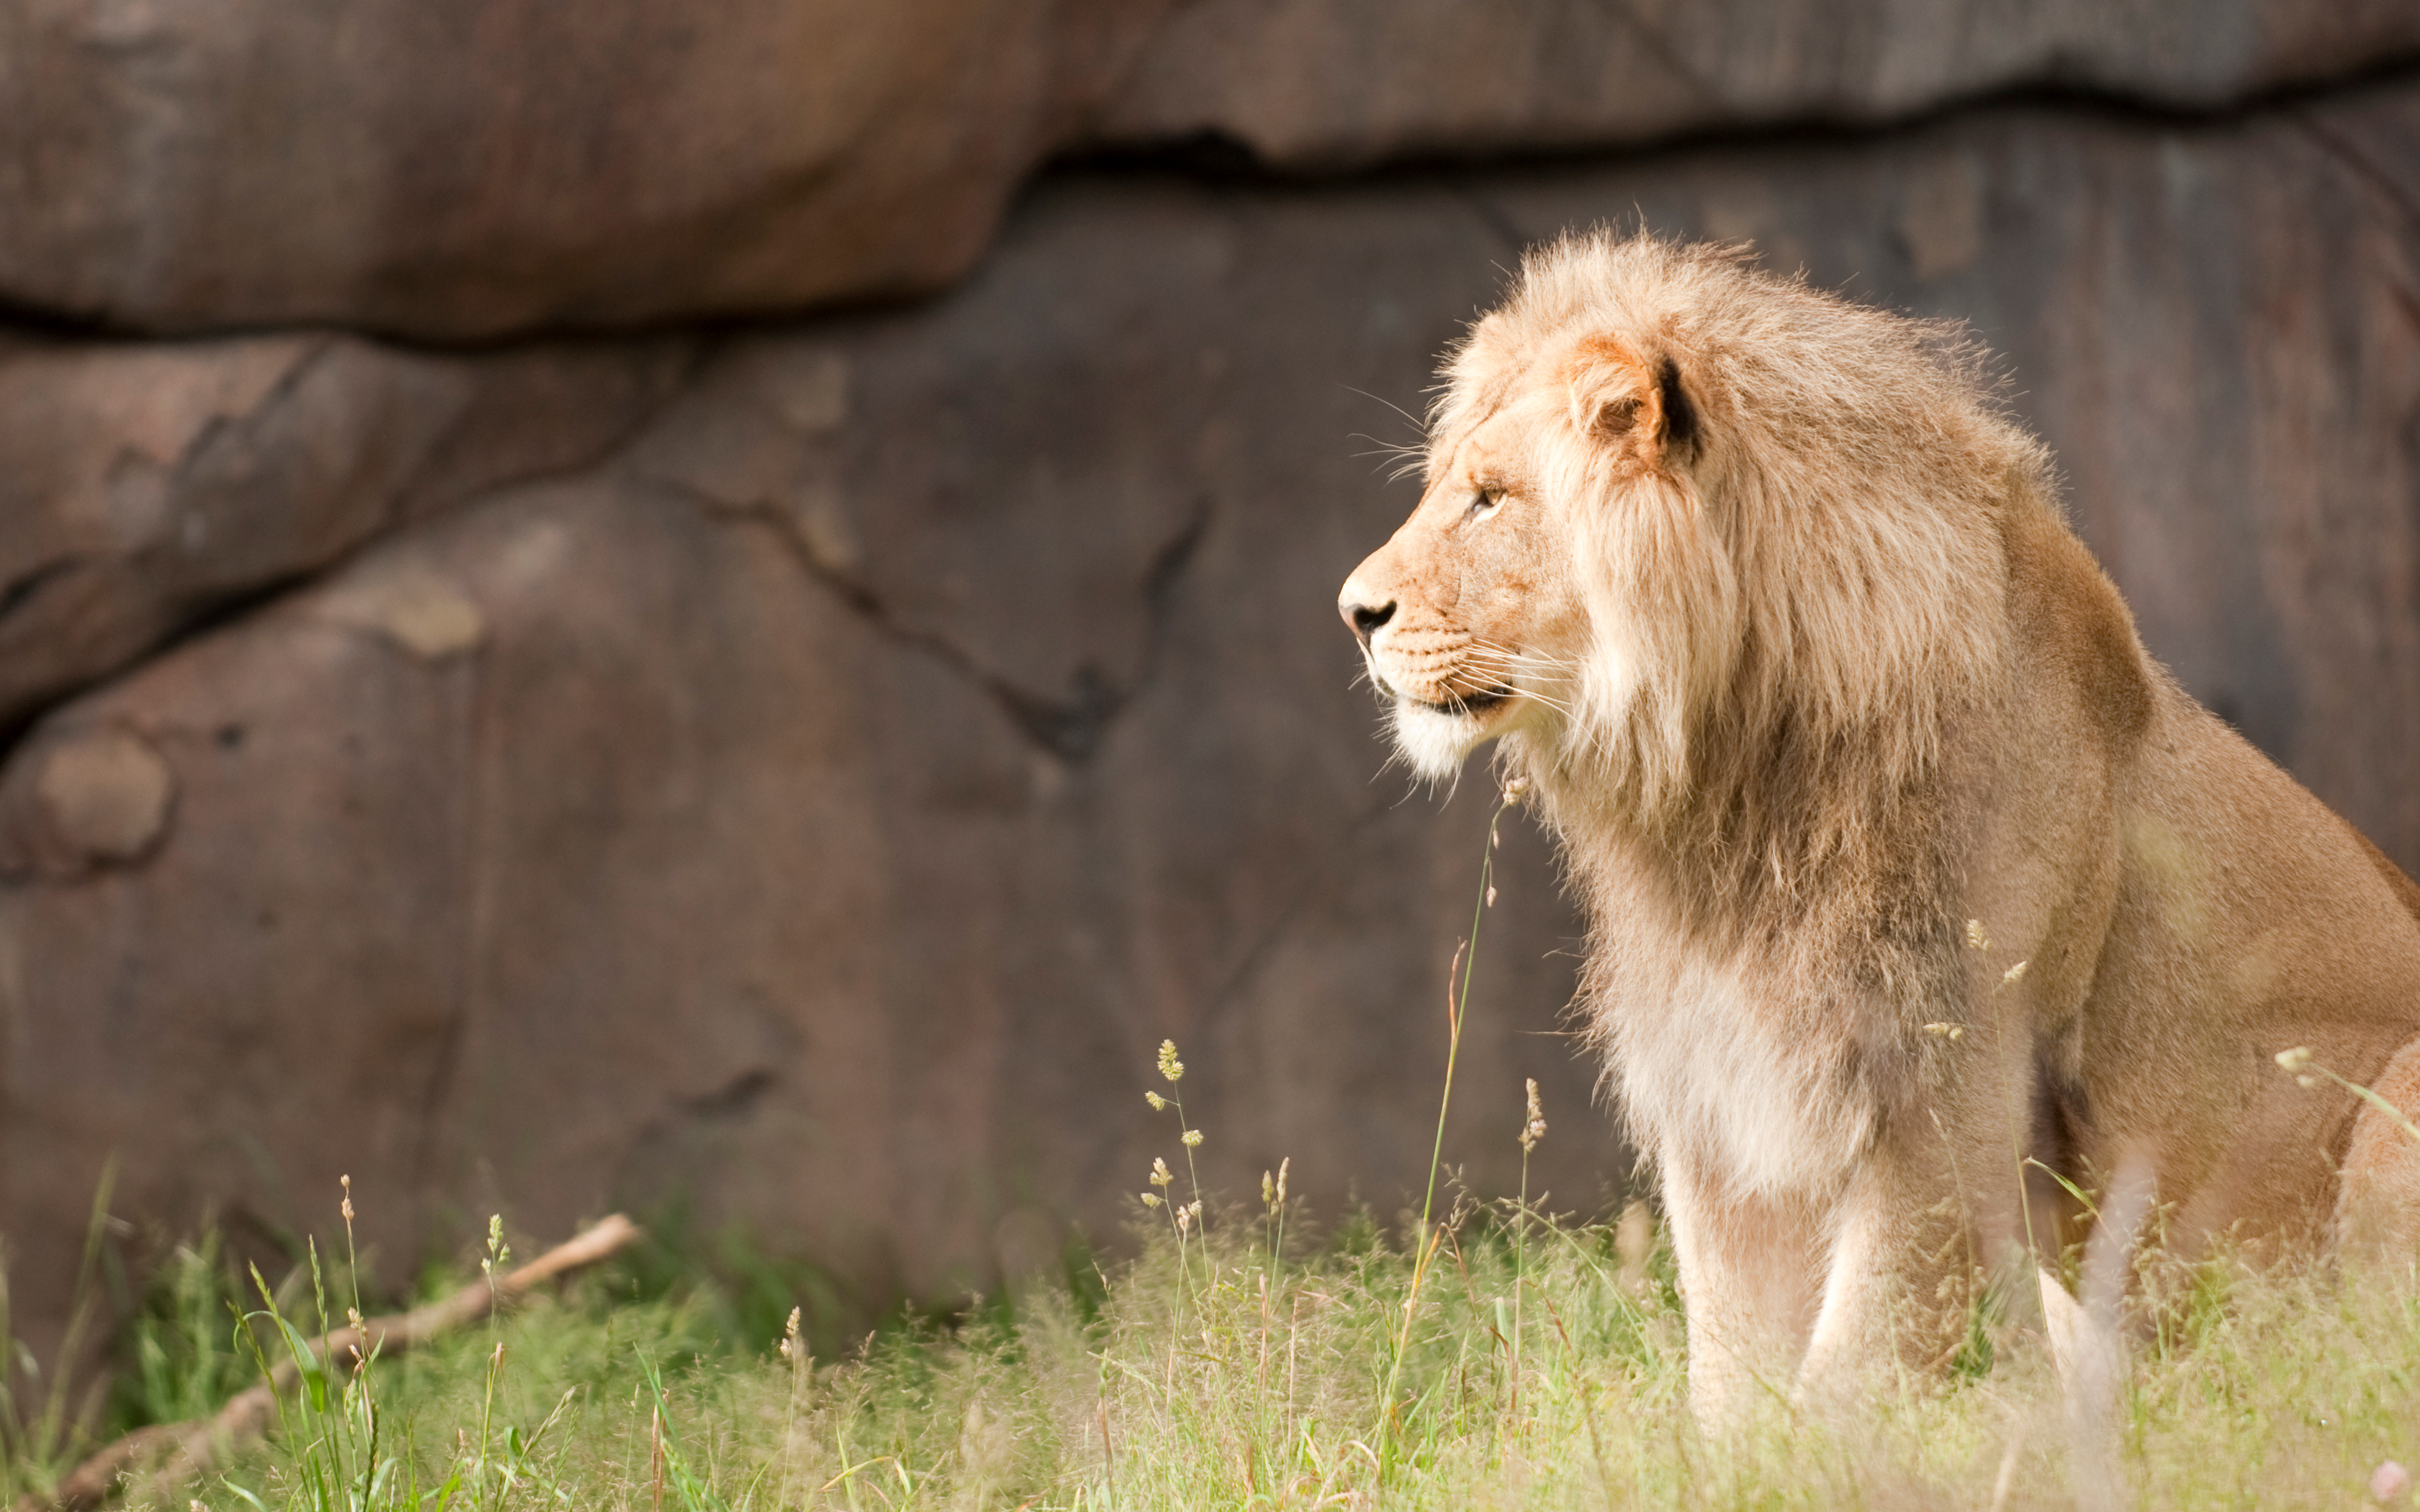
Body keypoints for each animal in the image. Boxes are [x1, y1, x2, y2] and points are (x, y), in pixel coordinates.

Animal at [1335, 229, 2420, 1422]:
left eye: (1490, 499)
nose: (1354, 612)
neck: (1732, 783)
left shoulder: (1944, 1066)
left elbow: (1863, 1352)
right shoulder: (1723, 1071)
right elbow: (1732, 1347)